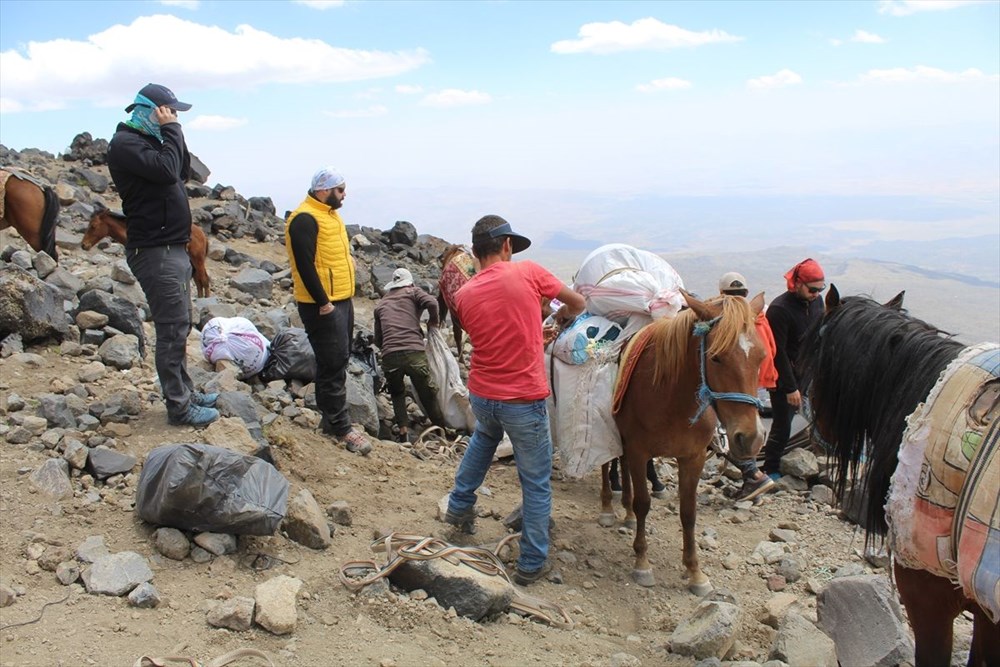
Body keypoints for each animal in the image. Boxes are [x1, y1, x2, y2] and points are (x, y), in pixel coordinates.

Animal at [83, 206, 211, 294]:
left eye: (93, 226)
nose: (84, 245)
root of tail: (203, 236)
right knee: (198, 281)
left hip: (197, 259)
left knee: (204, 280)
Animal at [600, 294, 764, 592]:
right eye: (716, 358)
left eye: (763, 357)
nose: (751, 438)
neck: (671, 395)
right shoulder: (640, 450)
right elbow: (644, 503)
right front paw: (642, 562)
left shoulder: (693, 457)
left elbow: (688, 512)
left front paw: (695, 572)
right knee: (608, 465)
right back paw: (608, 508)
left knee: (624, 467)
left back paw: (626, 514)